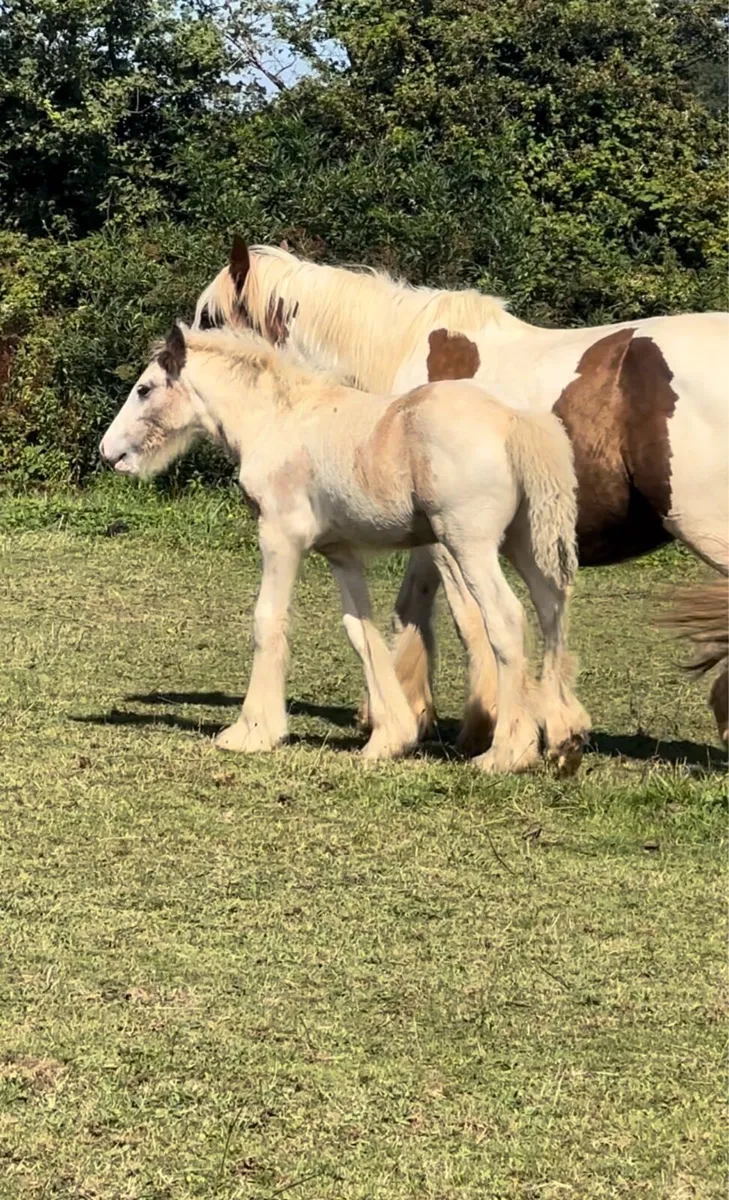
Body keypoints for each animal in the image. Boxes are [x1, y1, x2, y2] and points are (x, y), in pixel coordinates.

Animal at [99, 323, 590, 774]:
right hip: (523, 545)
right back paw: (564, 739)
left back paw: (508, 752)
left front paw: (251, 731)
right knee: (552, 611)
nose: (108, 452)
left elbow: (267, 620)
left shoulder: (279, 535)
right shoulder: (340, 552)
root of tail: (514, 422)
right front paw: (389, 738)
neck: (276, 420)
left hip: (469, 545)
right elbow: (360, 632)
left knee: (506, 619)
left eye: (144, 389)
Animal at [193, 238, 729, 748]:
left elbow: (469, 621)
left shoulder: (453, 540)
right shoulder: (428, 534)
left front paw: (484, 724)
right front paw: (408, 712)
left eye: (209, 319)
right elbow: (412, 609)